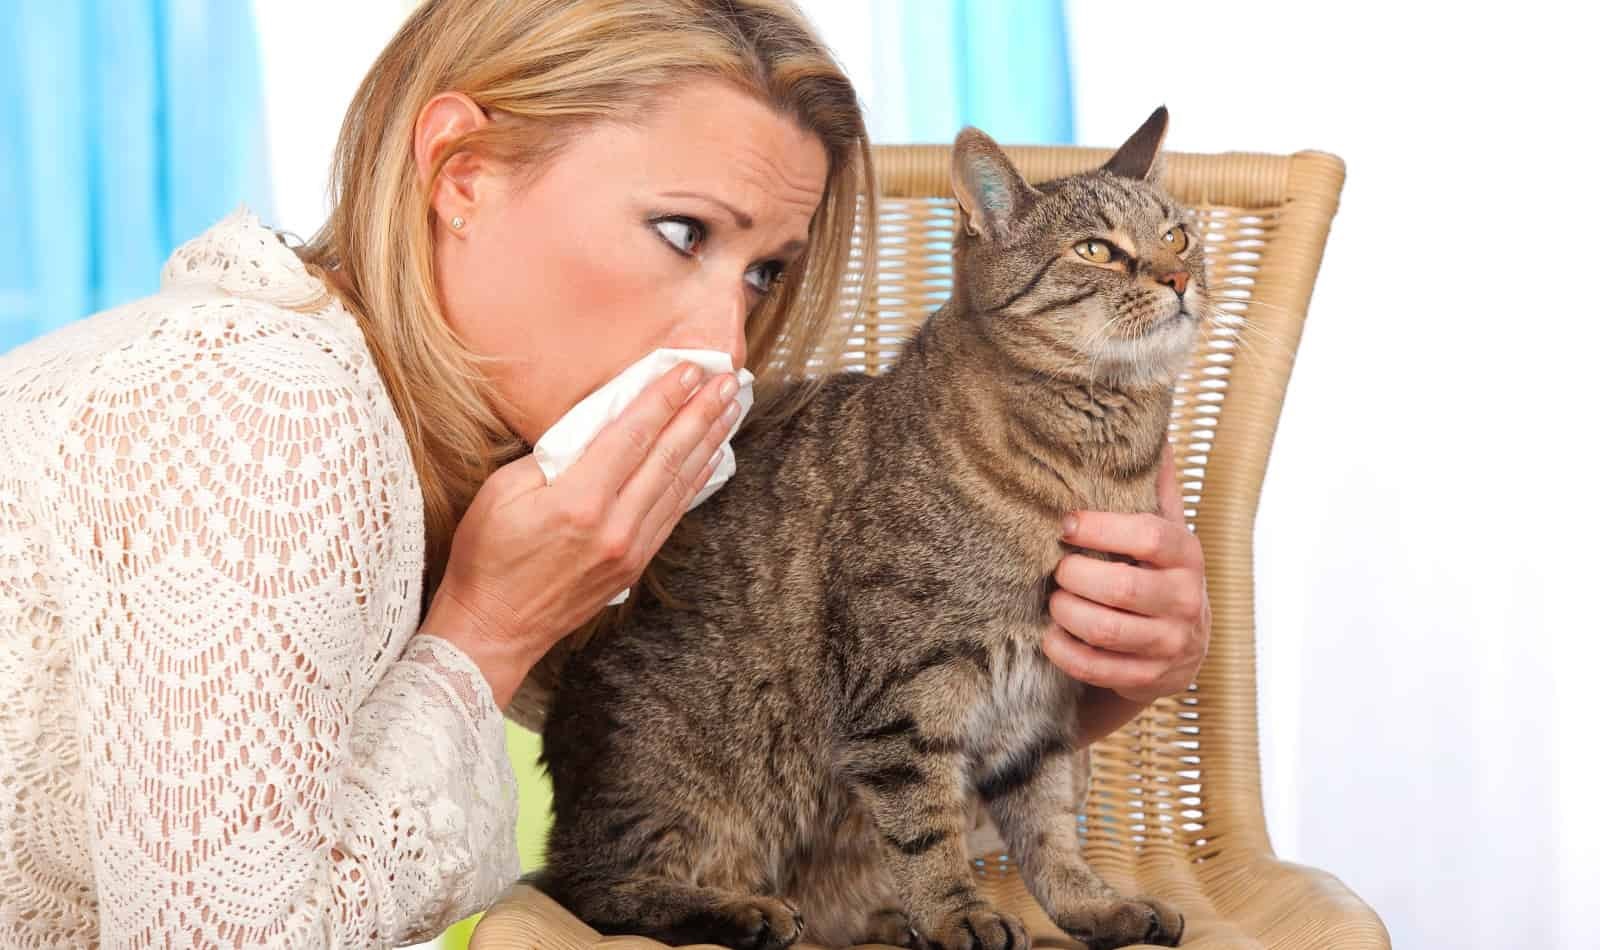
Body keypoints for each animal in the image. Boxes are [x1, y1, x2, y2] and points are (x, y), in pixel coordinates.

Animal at [533, 107, 1205, 950]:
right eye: (1096, 250)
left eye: (1178, 235)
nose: (1179, 278)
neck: (1099, 459)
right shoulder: (905, 695)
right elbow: (926, 829)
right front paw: (957, 914)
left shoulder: (1038, 710)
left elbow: (1050, 832)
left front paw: (1095, 904)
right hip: (682, 786)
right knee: (598, 889)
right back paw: (741, 908)